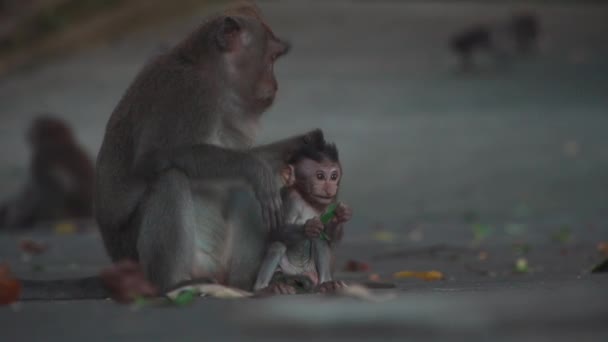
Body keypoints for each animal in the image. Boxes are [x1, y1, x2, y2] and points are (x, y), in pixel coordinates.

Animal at [95, 2, 324, 294]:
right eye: (272, 58)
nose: (275, 85)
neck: (211, 74)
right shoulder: (190, 94)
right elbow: (152, 158)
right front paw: (255, 169)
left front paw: (303, 142)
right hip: (136, 256)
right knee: (171, 179)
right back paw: (172, 283)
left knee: (240, 189)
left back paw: (249, 283)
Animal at [254, 142, 354, 294]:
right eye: (320, 176)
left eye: (333, 176)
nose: (330, 188)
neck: (307, 200)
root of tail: (298, 273)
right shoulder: (290, 197)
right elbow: (276, 231)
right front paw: (308, 228)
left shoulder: (330, 201)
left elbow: (329, 237)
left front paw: (341, 214)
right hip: (283, 270)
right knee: (278, 245)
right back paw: (263, 288)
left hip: (311, 271)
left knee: (319, 240)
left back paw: (326, 284)